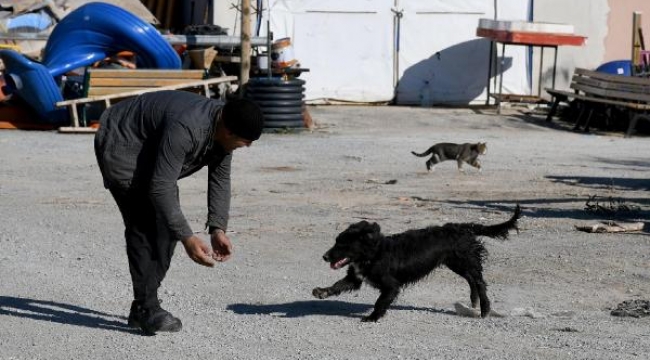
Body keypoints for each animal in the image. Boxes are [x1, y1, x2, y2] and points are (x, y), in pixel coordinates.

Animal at [312, 205, 520, 320]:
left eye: (342, 244)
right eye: (336, 241)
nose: (324, 257)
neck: (373, 253)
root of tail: (461, 227)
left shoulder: (391, 286)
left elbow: (380, 302)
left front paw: (372, 318)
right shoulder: (355, 278)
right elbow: (338, 285)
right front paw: (322, 291)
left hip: (464, 260)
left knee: (479, 282)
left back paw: (484, 309)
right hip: (456, 262)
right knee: (472, 279)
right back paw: (474, 301)